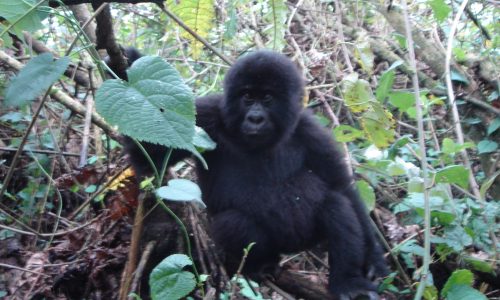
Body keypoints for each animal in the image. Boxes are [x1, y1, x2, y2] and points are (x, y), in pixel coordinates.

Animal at [119, 48, 388, 298]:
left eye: (267, 98)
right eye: (247, 97)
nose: (256, 118)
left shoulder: (310, 130)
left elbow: (339, 185)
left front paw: (374, 258)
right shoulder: (207, 115)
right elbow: (149, 152)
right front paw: (126, 68)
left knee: (336, 205)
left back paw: (348, 283)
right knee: (233, 222)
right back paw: (259, 265)